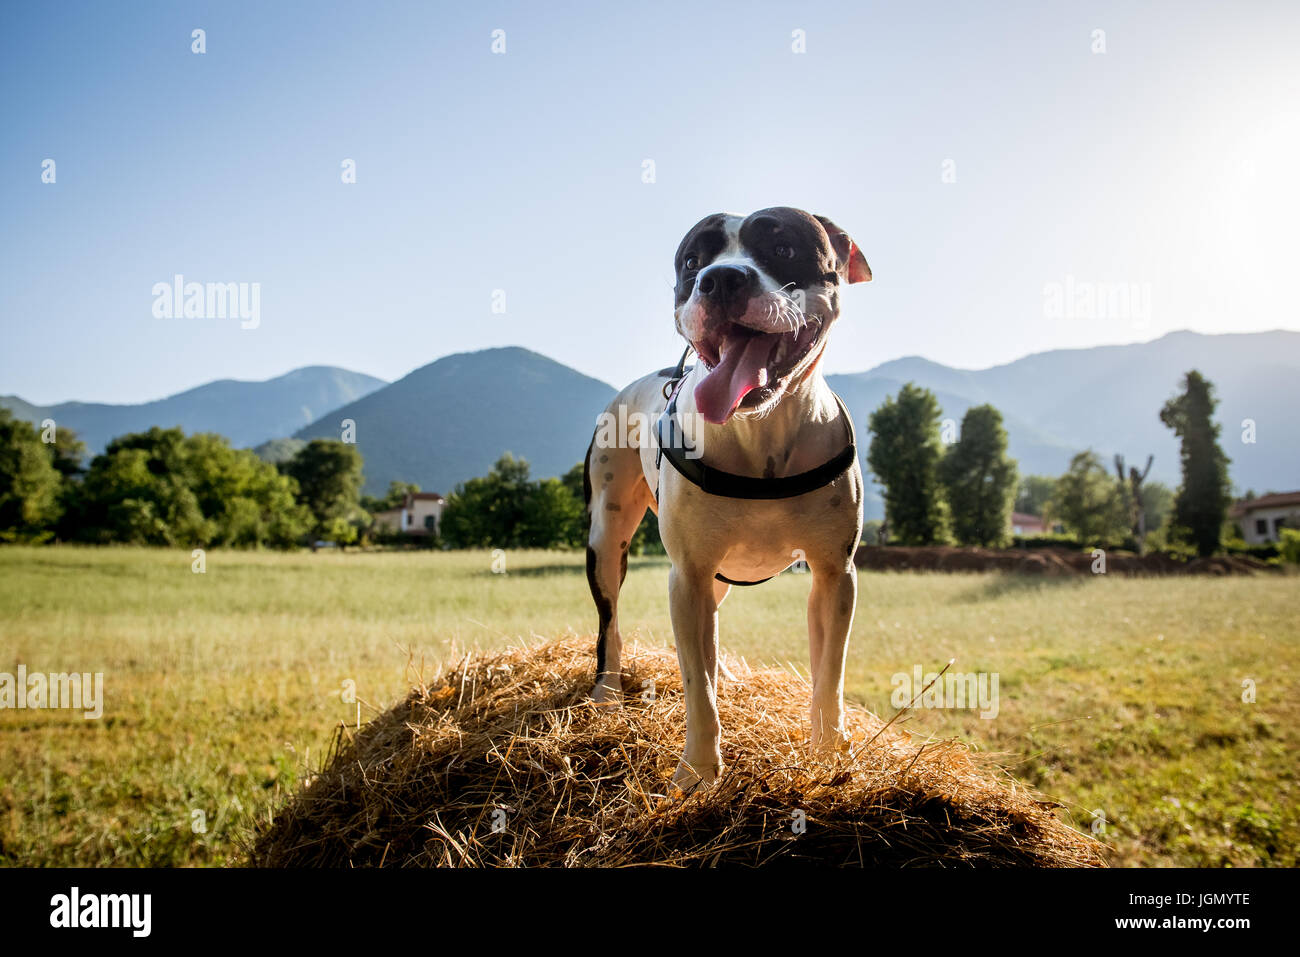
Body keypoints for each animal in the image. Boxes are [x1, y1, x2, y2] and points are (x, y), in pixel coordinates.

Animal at [582, 205, 868, 790]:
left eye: (783, 249)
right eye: (694, 261)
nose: (721, 279)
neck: (760, 430)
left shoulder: (835, 576)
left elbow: (829, 677)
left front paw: (829, 754)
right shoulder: (687, 577)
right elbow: (698, 689)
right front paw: (697, 773)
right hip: (606, 542)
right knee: (610, 625)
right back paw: (607, 692)